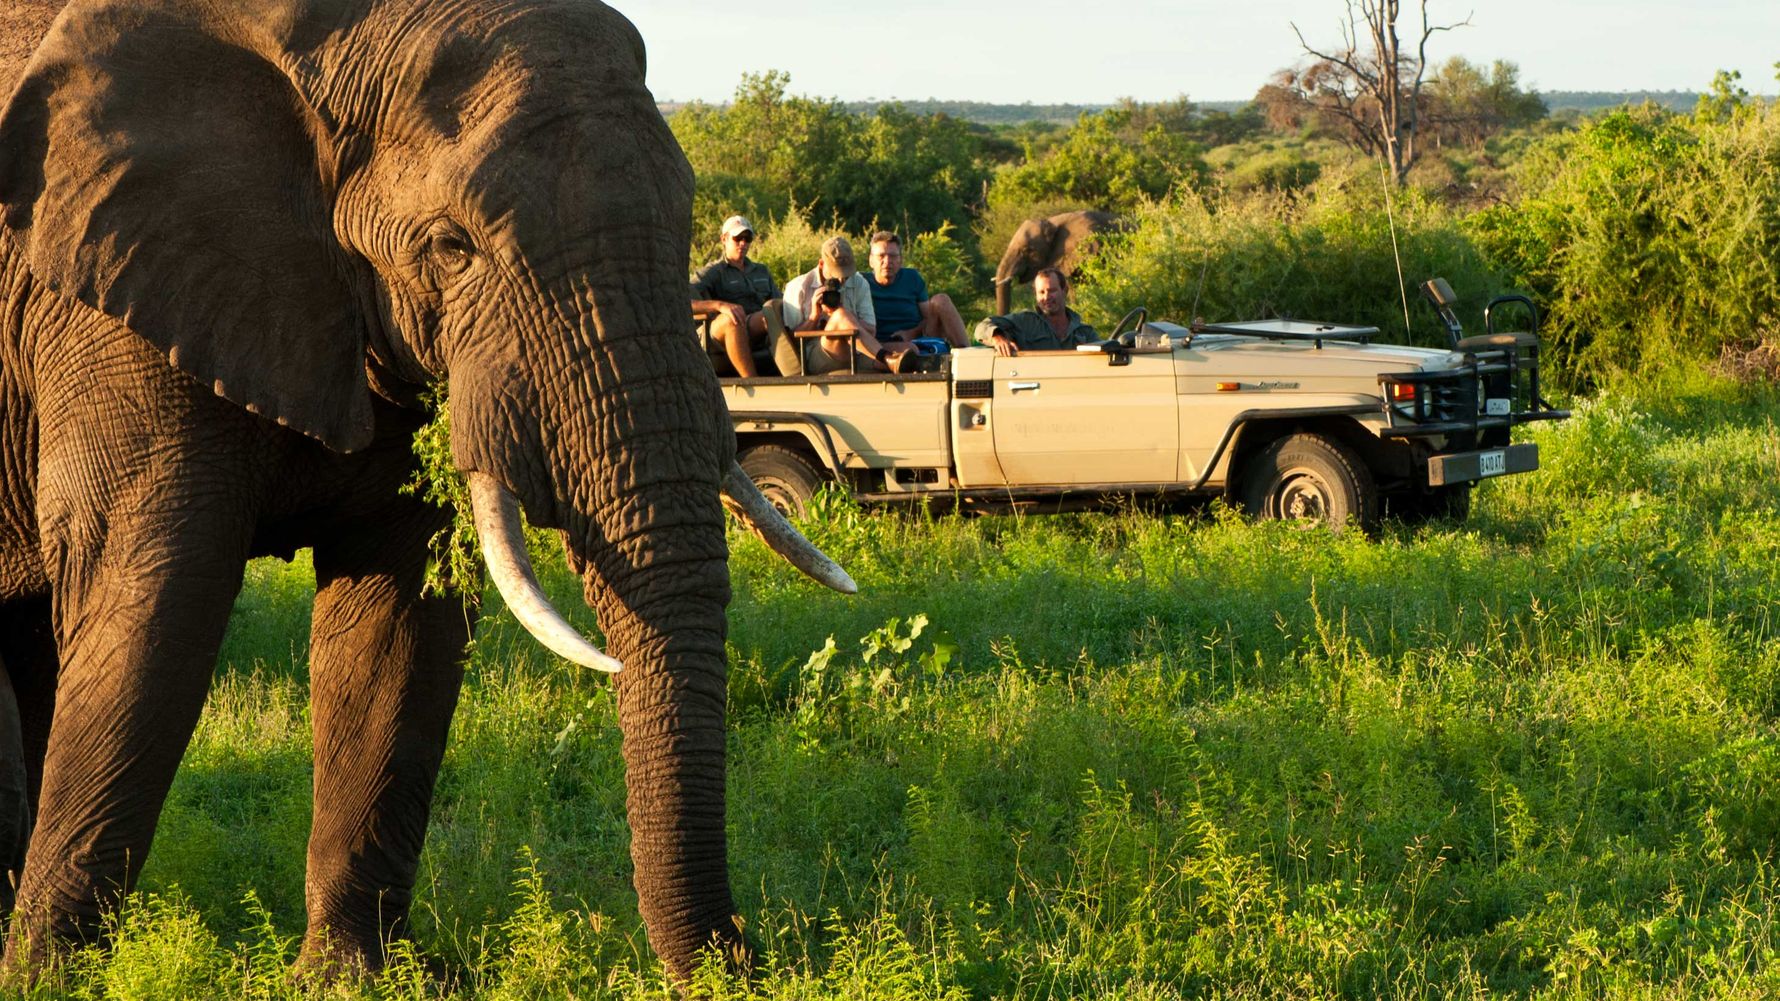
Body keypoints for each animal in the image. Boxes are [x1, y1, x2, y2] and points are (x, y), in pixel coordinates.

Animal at [0, 0, 854, 983]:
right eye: (452, 247)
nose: (747, 959)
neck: (330, 39)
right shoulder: (108, 299)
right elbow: (155, 598)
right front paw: (47, 982)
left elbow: (400, 617)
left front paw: (351, 979)